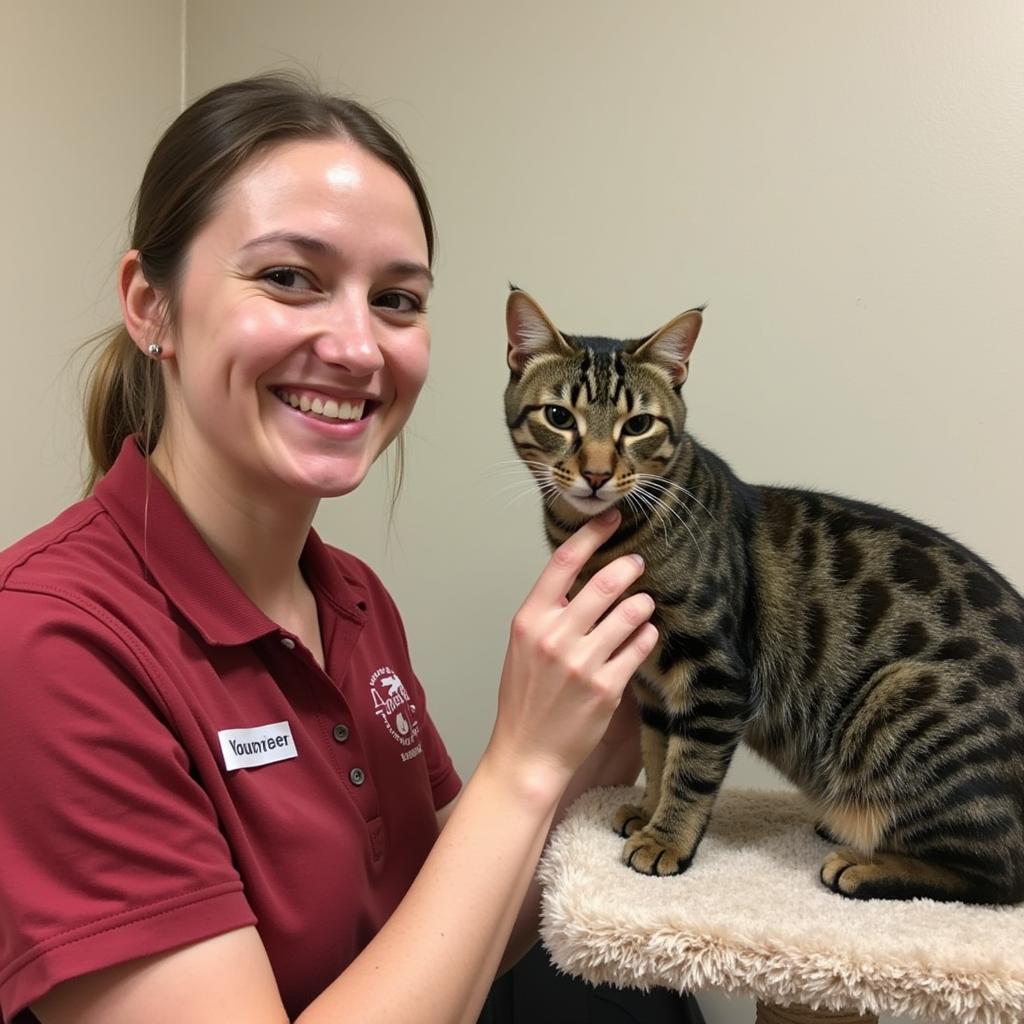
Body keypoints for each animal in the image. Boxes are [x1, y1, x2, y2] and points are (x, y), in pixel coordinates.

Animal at [501, 284, 1024, 901]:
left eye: (638, 425)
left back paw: (862, 865)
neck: (606, 540)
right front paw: (647, 811)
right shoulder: (651, 687)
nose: (598, 473)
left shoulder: (715, 674)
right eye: (559, 416)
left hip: (900, 700)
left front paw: (666, 840)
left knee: (998, 873)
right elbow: (658, 753)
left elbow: (691, 770)